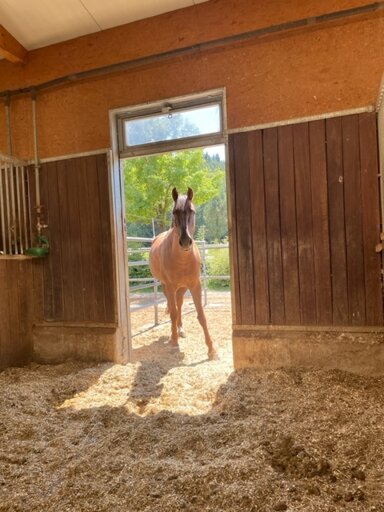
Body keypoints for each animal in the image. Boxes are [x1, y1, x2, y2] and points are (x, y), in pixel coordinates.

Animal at [148, 187, 218, 360]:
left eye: (192, 211)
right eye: (174, 212)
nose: (185, 241)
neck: (182, 259)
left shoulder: (195, 285)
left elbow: (201, 315)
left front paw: (211, 349)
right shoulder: (170, 286)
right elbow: (172, 313)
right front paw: (174, 342)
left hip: (182, 287)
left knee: (179, 303)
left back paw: (180, 329)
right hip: (166, 286)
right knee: (172, 306)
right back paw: (174, 333)